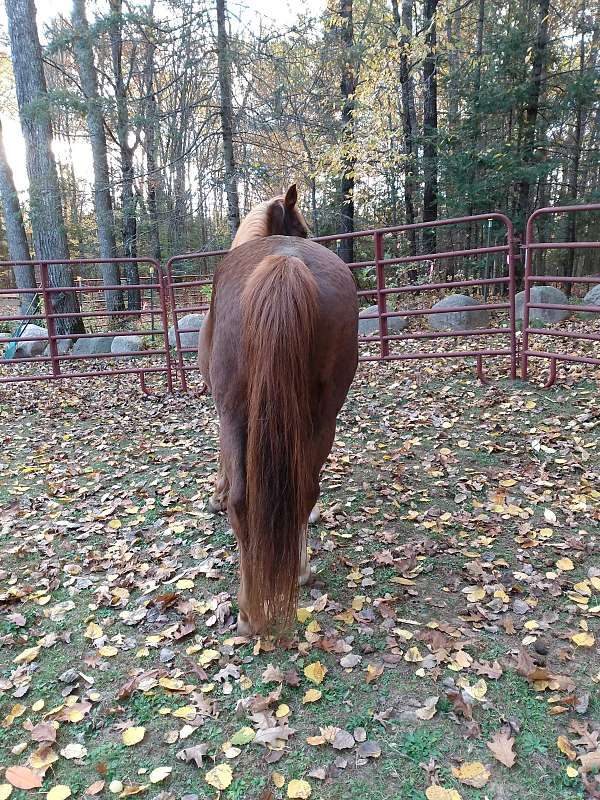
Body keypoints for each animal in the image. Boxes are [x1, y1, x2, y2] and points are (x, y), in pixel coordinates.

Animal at [198, 185, 358, 636]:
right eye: (302, 227)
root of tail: (285, 262)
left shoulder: (222, 410)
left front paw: (215, 495)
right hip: (323, 416)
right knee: (303, 490)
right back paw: (300, 570)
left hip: (236, 412)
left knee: (242, 504)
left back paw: (249, 611)